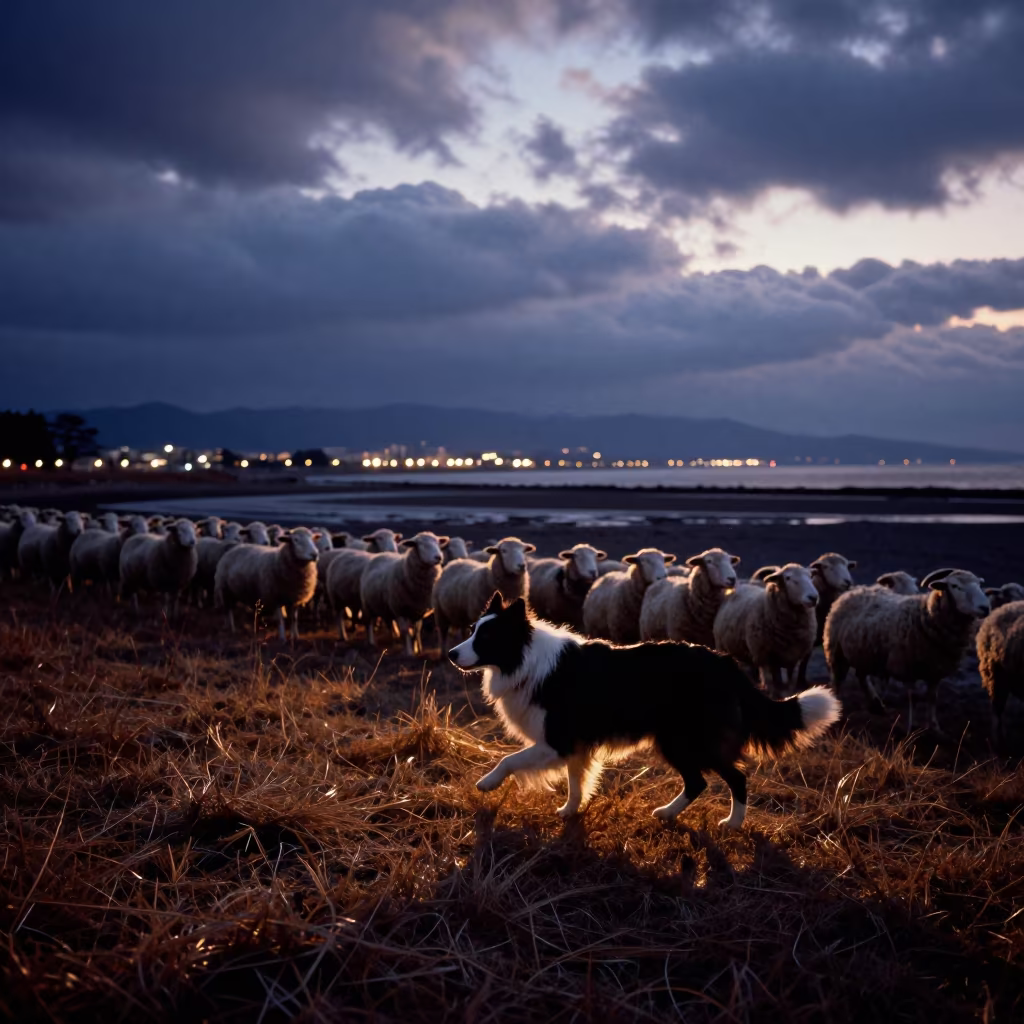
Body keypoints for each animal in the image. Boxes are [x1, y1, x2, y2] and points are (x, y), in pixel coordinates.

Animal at [713, 564, 818, 696]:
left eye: (810, 576)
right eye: (788, 578)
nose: (813, 597)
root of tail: (743, 584)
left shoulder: (794, 659)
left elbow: (789, 687)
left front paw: (787, 695)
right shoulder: (764, 657)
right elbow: (770, 685)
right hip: (722, 646)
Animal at [824, 568, 990, 731]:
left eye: (979, 585)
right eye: (955, 586)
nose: (985, 608)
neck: (926, 616)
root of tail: (857, 590)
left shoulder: (936, 671)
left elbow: (932, 698)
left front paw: (934, 727)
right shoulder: (907, 668)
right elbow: (913, 698)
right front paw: (912, 727)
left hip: (863, 652)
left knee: (861, 676)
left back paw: (876, 705)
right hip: (837, 653)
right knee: (838, 681)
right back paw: (837, 710)